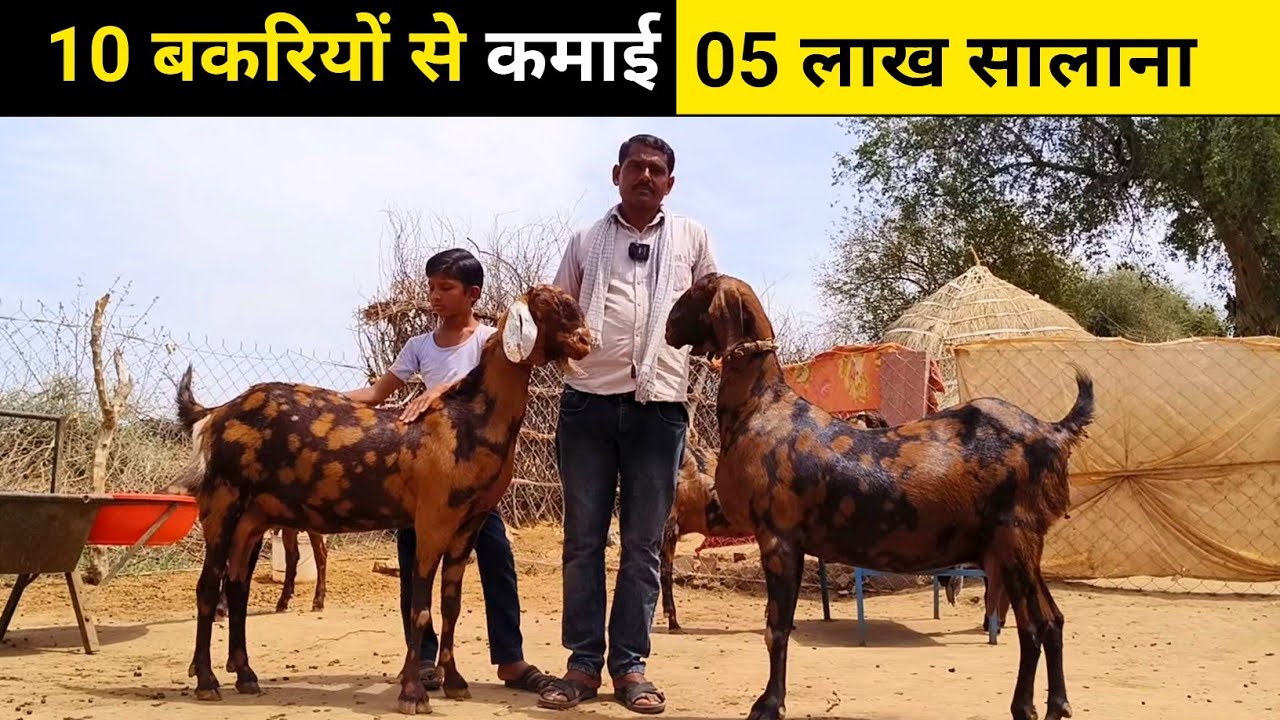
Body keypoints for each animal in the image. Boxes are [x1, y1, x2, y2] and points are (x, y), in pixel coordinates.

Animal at [172, 285, 592, 715]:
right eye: (547, 304)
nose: (585, 341)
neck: (464, 422)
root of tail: (215, 413)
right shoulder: (432, 521)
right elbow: (419, 609)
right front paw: (413, 693)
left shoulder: (468, 525)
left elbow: (451, 606)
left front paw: (455, 683)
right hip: (221, 506)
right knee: (209, 586)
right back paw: (207, 681)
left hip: (252, 520)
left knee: (237, 586)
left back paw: (246, 676)